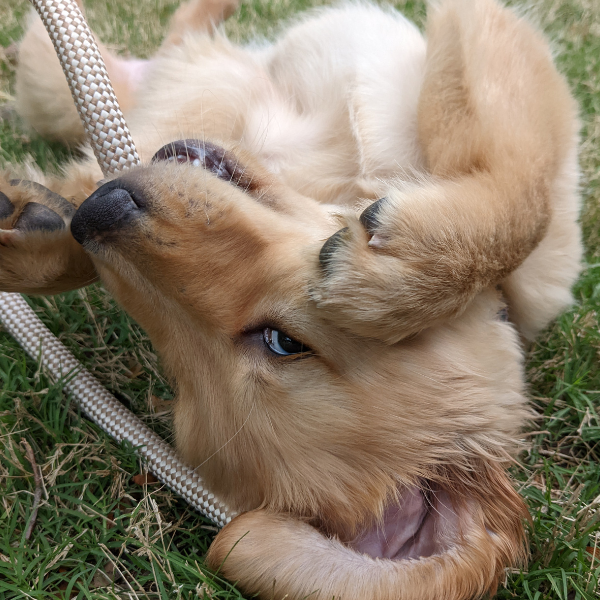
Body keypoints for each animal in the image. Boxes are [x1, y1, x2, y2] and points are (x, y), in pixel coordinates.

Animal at [0, 1, 580, 600]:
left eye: (281, 341)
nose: (102, 213)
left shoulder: (494, 50)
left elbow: (525, 192)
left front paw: (401, 271)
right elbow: (522, 193)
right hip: (56, 88)